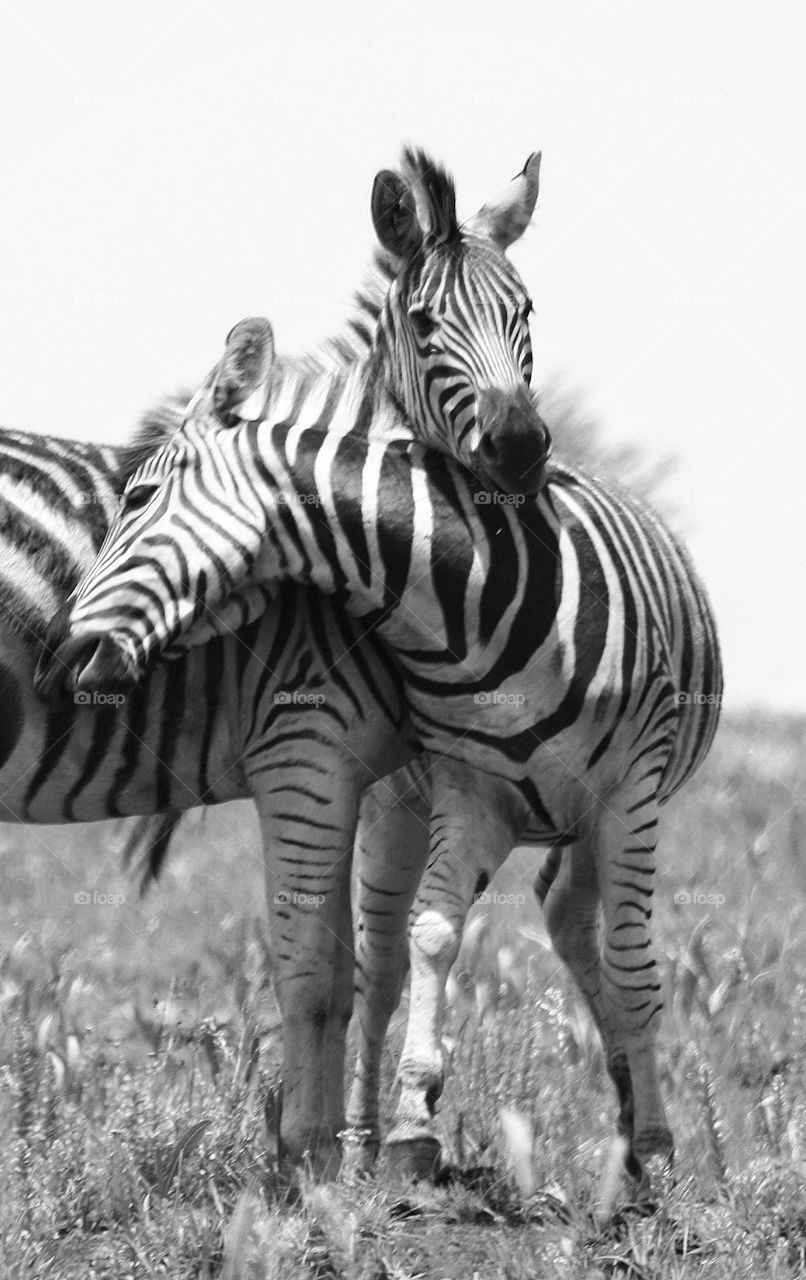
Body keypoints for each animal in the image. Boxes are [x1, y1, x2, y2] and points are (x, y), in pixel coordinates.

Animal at [43, 313, 723, 1194]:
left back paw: (635, 1126)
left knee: (579, 925)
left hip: (590, 813)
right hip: (403, 803)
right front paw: (409, 1128)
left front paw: (661, 1150)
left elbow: (636, 966)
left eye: (138, 496)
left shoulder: (631, 791)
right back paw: (366, 1139)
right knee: (399, 960)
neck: (475, 596)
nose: (63, 655)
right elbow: (430, 938)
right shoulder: (470, 789)